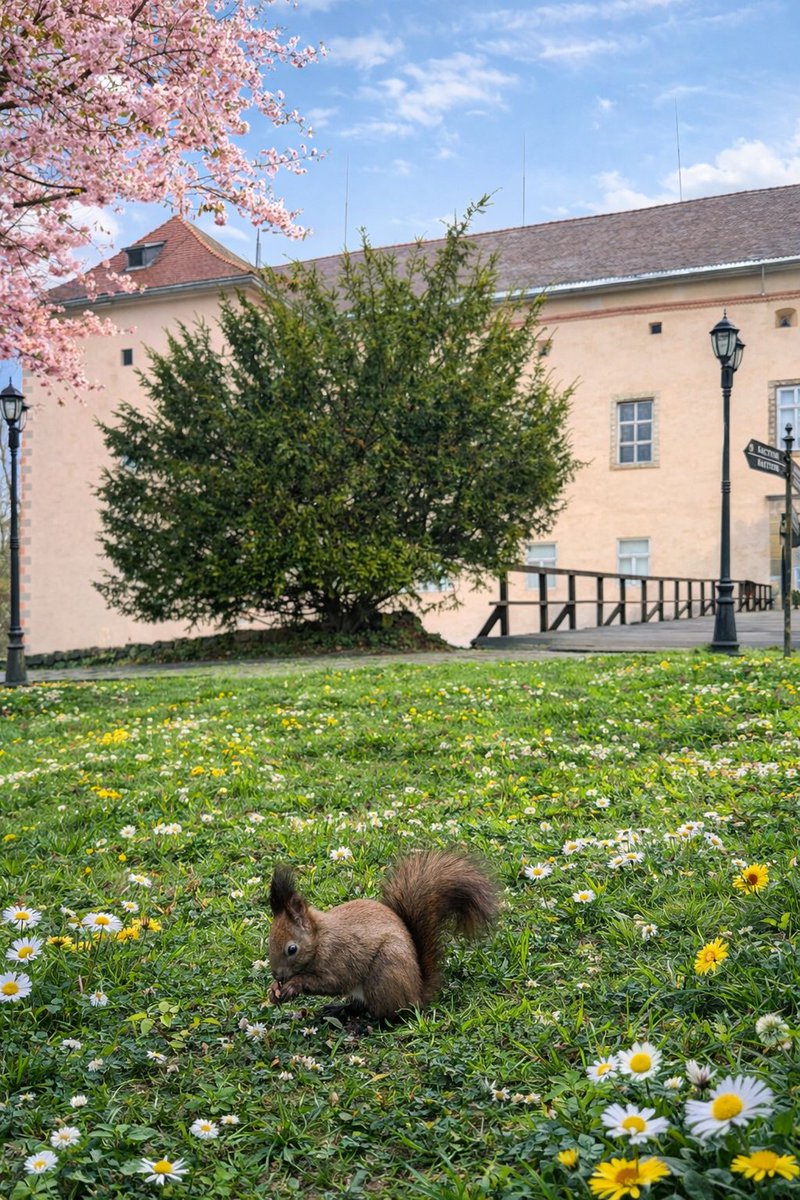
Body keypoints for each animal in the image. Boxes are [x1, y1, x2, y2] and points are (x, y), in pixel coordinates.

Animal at [267, 849, 500, 1019]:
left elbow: (331, 982)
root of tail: (416, 994)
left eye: (292, 949)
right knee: (360, 1006)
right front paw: (273, 992)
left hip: (384, 974)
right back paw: (340, 1009)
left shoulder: (340, 957)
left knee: (388, 1013)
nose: (277, 976)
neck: (320, 938)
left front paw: (294, 985)